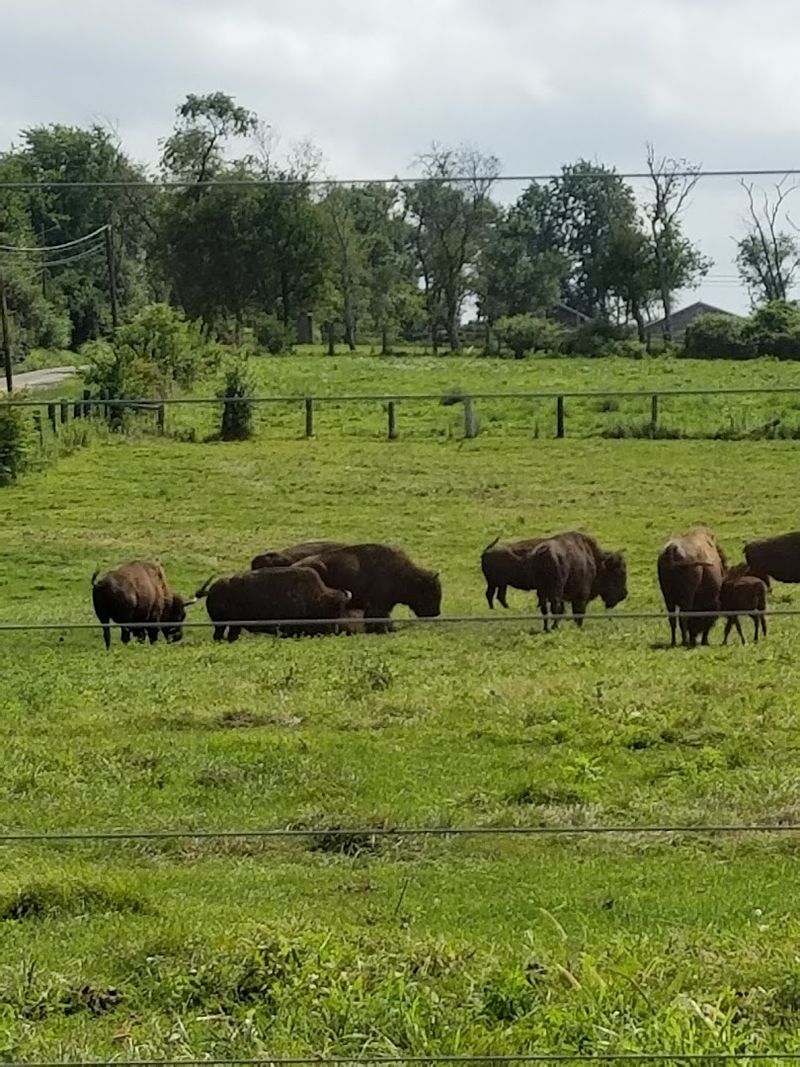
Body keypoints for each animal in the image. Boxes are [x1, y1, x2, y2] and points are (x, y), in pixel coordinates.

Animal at [195, 565, 354, 642]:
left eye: (341, 610)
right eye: (331, 611)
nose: (334, 631)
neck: (316, 598)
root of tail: (212, 590)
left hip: (233, 626)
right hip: (222, 625)